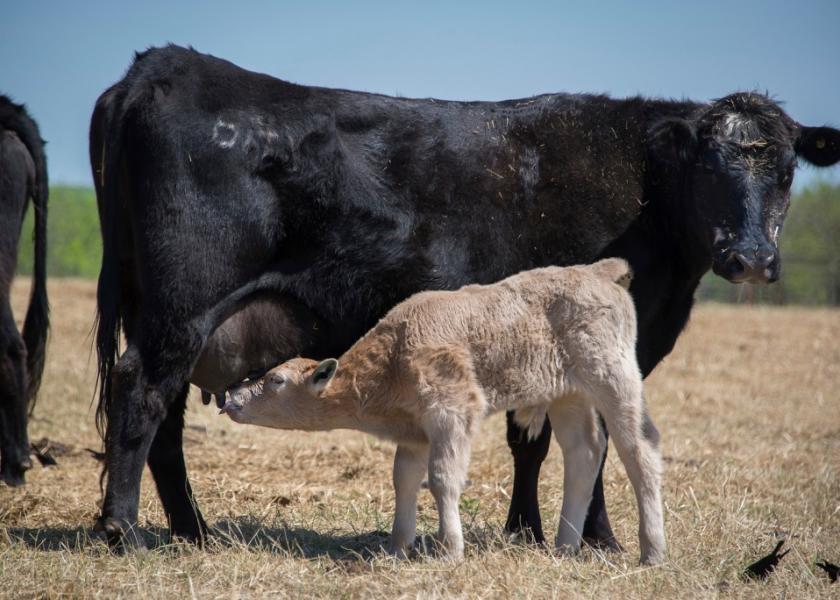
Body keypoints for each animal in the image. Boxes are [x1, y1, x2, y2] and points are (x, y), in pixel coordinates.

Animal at [89, 45, 840, 549]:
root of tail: (161, 66)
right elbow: (563, 440)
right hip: (180, 310)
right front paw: (587, 536)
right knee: (142, 394)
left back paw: (192, 530)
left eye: (784, 171)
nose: (752, 258)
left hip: (171, 318)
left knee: (165, 418)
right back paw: (122, 529)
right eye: (709, 167)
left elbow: (539, 441)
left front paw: (535, 531)